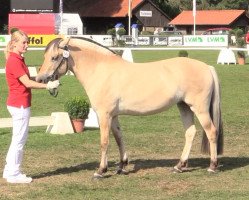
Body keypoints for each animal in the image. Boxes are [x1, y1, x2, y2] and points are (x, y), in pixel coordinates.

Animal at [36, 36, 224, 177]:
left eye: (54, 57)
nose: (40, 79)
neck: (101, 70)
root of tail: (207, 67)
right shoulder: (113, 116)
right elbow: (119, 138)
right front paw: (122, 166)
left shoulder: (104, 115)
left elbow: (104, 141)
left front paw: (101, 170)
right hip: (183, 106)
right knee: (190, 133)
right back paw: (179, 166)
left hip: (199, 109)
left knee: (211, 132)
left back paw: (212, 166)